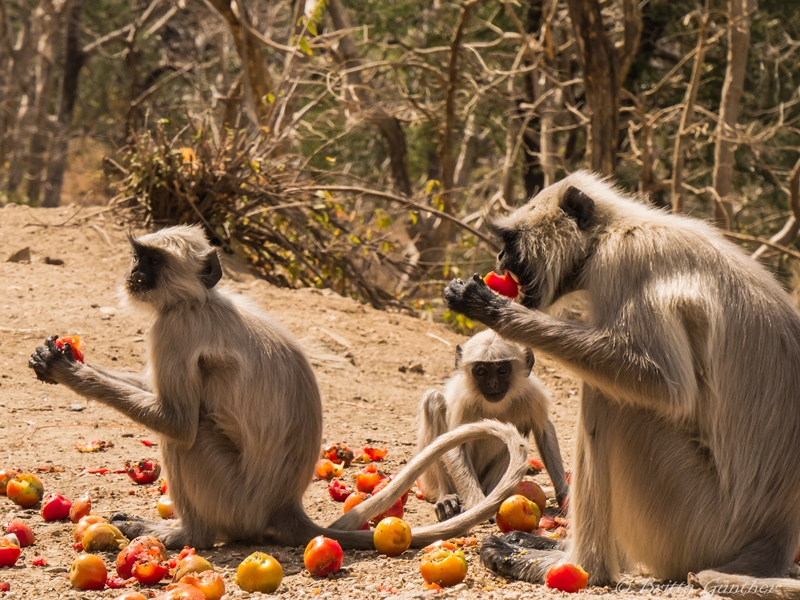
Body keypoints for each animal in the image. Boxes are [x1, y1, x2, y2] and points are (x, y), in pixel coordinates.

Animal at [29, 224, 532, 548]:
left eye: (151, 261)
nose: (133, 275)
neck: (200, 299)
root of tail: (284, 507)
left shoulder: (175, 327)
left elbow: (176, 419)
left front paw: (68, 372)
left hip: (232, 499)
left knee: (187, 438)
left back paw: (187, 536)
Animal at [418, 330, 568, 524]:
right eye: (481, 372)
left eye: (502, 371)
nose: (492, 384)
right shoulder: (462, 401)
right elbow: (455, 445)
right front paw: (477, 505)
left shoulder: (533, 395)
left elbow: (544, 431)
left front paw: (565, 496)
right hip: (429, 482)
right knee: (434, 399)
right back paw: (447, 497)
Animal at [440, 173, 800, 596]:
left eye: (510, 243)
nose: (499, 259)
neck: (612, 229)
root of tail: (775, 540)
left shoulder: (623, 260)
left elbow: (665, 384)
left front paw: (489, 307)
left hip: (698, 527)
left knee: (609, 399)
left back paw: (575, 566)